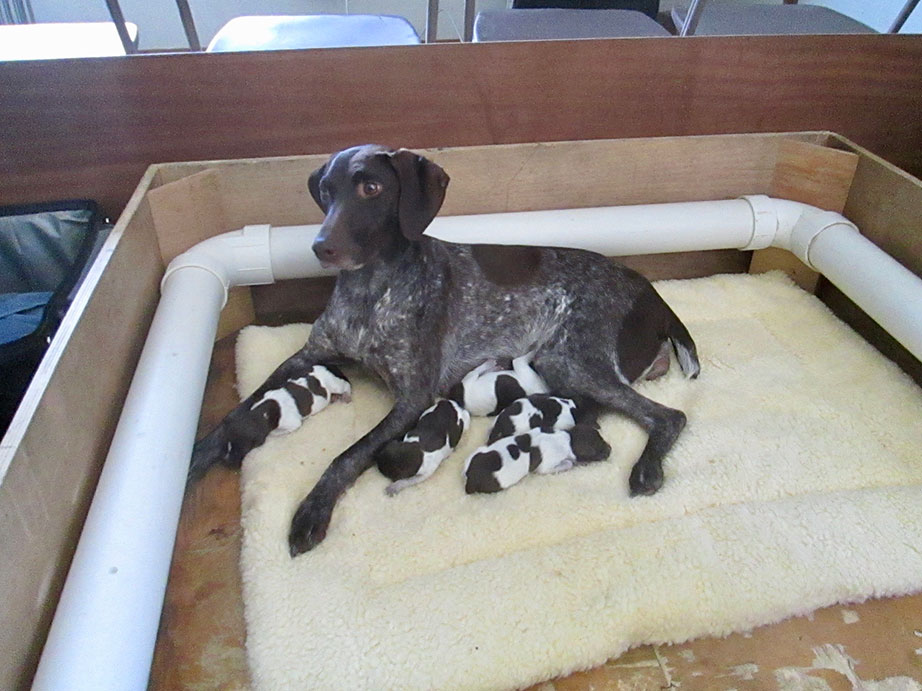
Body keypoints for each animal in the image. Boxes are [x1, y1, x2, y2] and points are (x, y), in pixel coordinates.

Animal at [468, 424, 612, 494]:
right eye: (599, 452)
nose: (610, 449)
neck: (567, 439)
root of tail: (470, 479)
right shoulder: (546, 467)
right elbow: (568, 463)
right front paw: (571, 463)